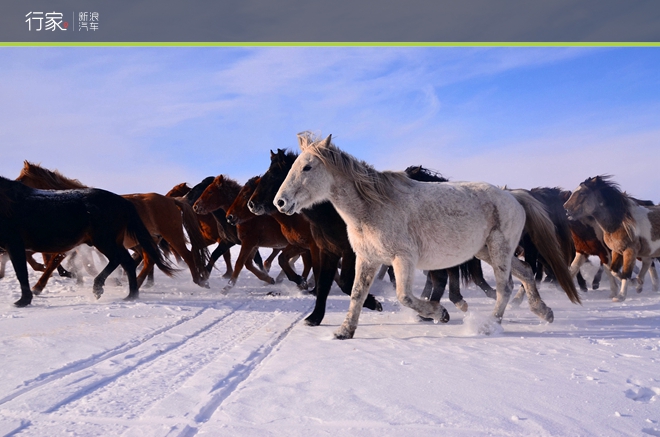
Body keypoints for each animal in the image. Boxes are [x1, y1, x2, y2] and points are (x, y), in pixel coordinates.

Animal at [0, 175, 175, 304]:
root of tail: (123, 201)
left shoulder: (15, 244)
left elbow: (22, 272)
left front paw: (23, 300)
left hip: (105, 241)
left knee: (120, 260)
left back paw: (100, 288)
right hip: (112, 242)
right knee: (128, 262)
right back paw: (130, 295)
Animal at [16, 160, 209, 290]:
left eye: (22, 179)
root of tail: (172, 201)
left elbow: (54, 260)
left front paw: (39, 286)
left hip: (172, 235)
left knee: (187, 255)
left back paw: (199, 282)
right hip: (150, 240)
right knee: (149, 261)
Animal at [274, 135, 576, 338]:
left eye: (307, 167)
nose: (280, 202)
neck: (372, 208)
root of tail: (512, 195)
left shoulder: (402, 259)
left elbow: (404, 297)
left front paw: (439, 313)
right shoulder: (367, 259)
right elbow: (357, 293)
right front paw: (344, 331)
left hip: (499, 250)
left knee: (505, 287)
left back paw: (489, 325)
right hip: (487, 251)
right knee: (525, 272)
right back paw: (543, 311)